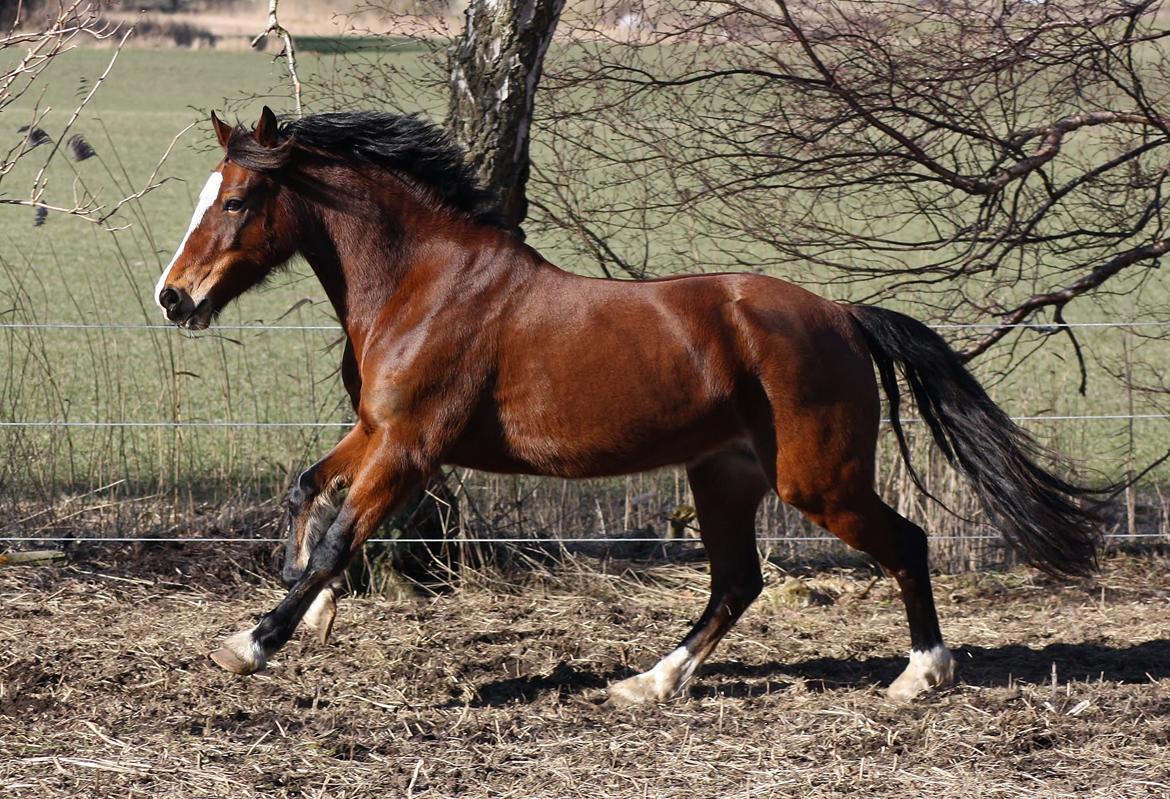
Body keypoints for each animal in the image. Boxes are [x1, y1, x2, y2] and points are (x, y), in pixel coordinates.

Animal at [153, 107, 1095, 706]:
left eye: (236, 200)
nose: (173, 298)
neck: (423, 284)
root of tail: (842, 314)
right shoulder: (377, 432)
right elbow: (306, 489)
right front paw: (309, 608)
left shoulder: (410, 447)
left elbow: (341, 533)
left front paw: (254, 641)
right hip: (724, 474)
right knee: (737, 581)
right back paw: (649, 682)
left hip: (817, 480)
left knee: (904, 543)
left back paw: (920, 677)